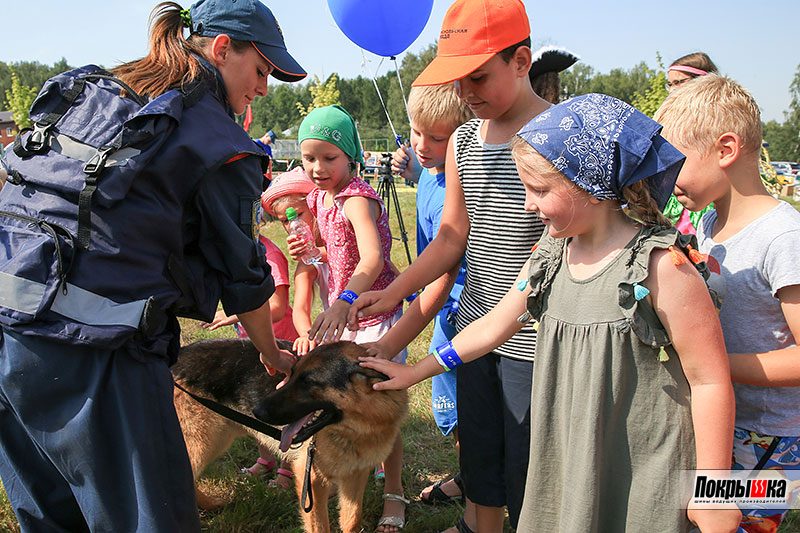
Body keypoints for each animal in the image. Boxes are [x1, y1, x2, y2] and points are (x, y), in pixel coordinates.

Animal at [173, 336, 410, 532]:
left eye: (309, 382)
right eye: (292, 374)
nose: (258, 411)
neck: (357, 428)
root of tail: (177, 356)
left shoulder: (355, 475)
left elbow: (352, 520)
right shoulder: (312, 479)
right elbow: (320, 527)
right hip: (201, 444)